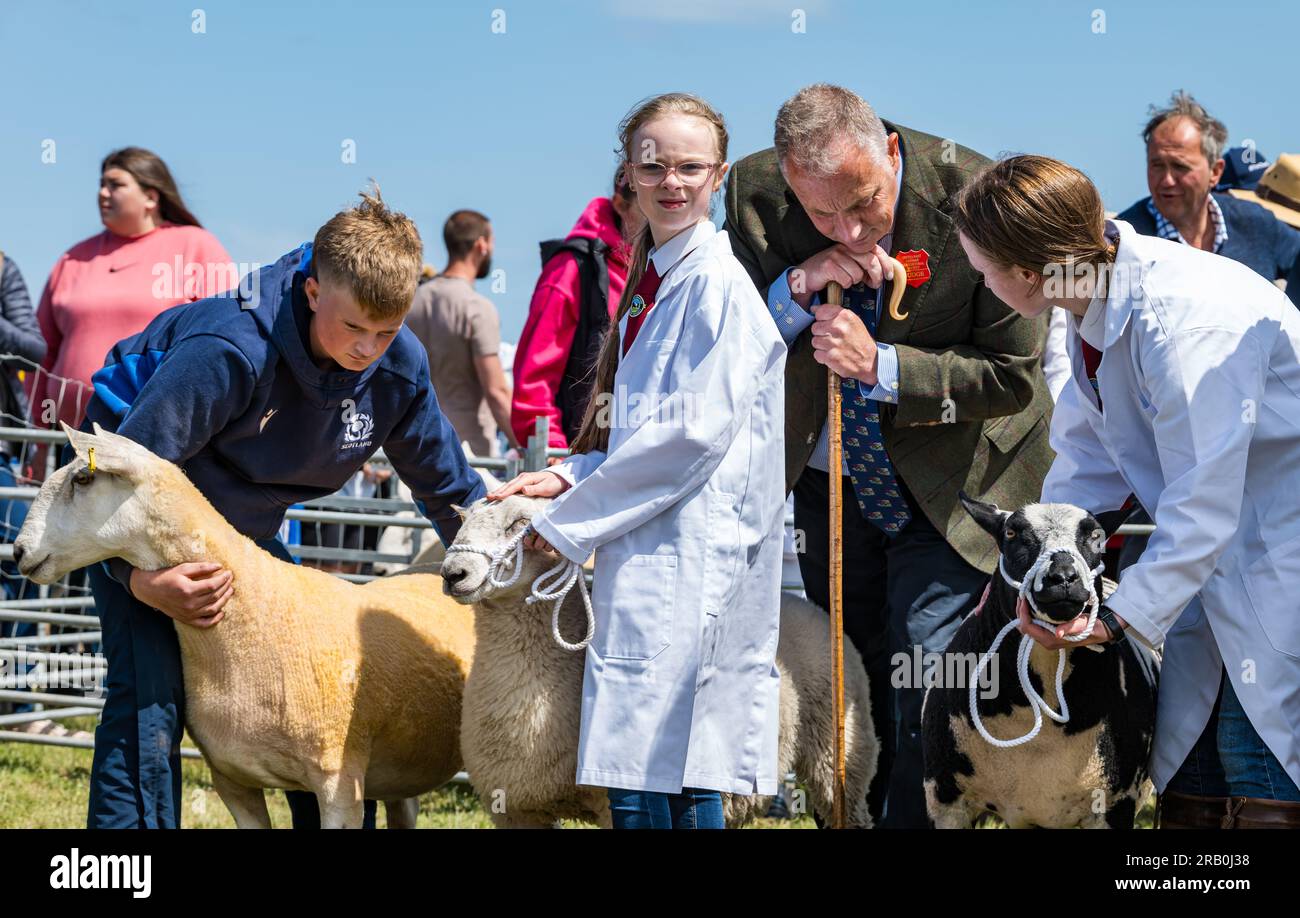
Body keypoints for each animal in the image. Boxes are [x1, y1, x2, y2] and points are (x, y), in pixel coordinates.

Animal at [441, 494, 878, 832]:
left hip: (841, 753)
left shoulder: (610, 803)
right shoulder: (516, 808)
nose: (452, 573)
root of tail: (810, 607)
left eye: (519, 524)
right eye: (462, 523)